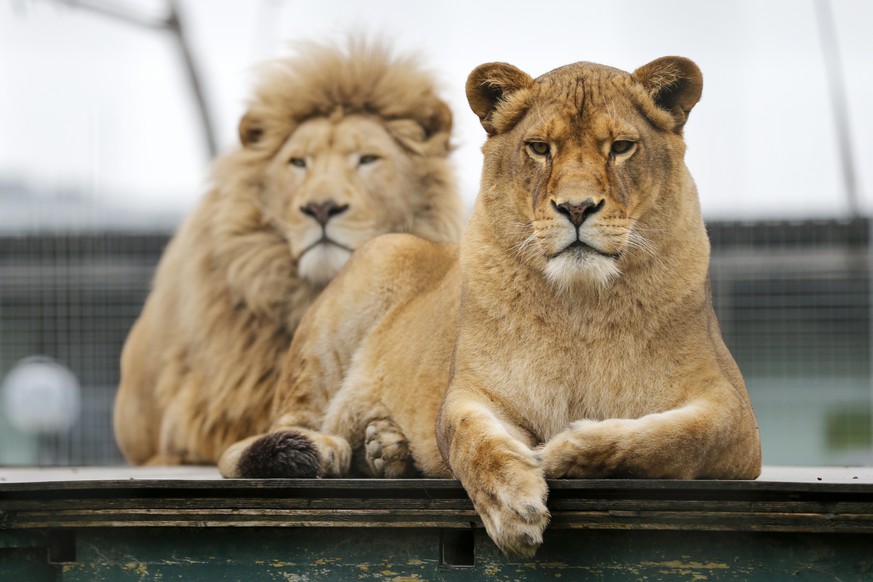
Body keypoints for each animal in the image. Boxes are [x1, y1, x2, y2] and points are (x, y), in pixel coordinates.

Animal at [220, 57, 764, 560]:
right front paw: (512, 505)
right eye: (540, 148)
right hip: (364, 281)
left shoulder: (735, 415)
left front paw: (566, 449)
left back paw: (383, 448)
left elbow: (676, 439)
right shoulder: (471, 391)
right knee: (277, 429)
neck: (582, 306)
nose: (577, 208)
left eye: (621, 147)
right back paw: (331, 450)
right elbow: (470, 439)